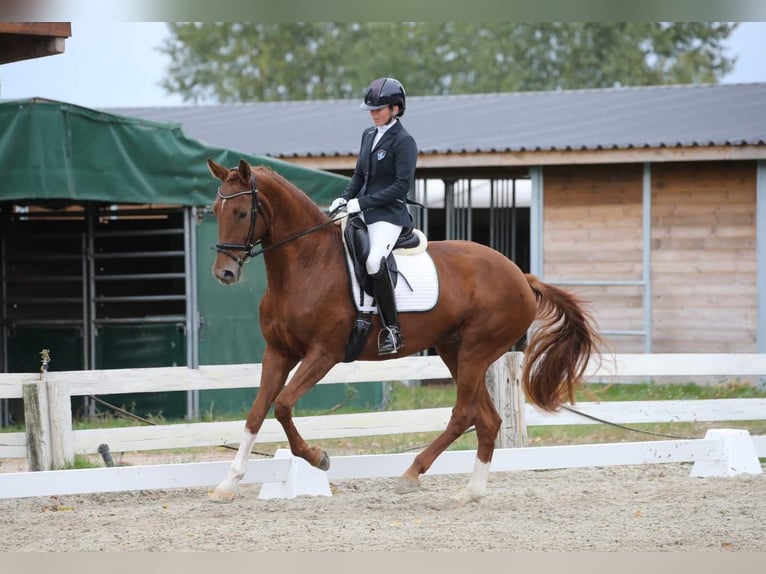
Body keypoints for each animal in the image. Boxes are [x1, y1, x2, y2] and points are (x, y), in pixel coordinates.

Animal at [205, 158, 603, 505]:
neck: (307, 263)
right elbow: (257, 412)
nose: (224, 273)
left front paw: (317, 457)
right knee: (487, 420)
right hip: (454, 350)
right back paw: (470, 493)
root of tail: (520, 275)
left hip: (477, 350)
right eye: (215, 211)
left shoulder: (324, 353)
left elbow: (284, 405)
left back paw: (412, 474)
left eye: (242, 213)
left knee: (464, 414)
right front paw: (227, 485)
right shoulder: (278, 352)